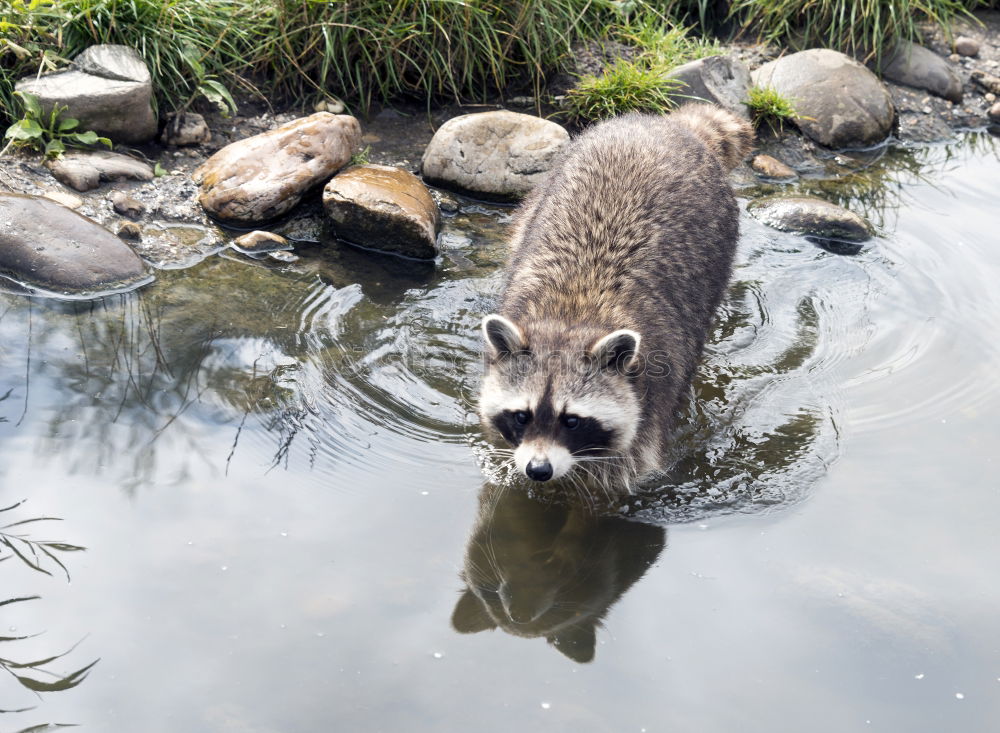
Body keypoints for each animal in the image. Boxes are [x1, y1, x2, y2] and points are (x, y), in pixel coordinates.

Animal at [478, 101, 752, 492]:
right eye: (521, 415)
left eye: (572, 420)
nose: (538, 470)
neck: (572, 313)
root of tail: (663, 124)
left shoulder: (651, 395)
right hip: (540, 193)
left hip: (721, 241)